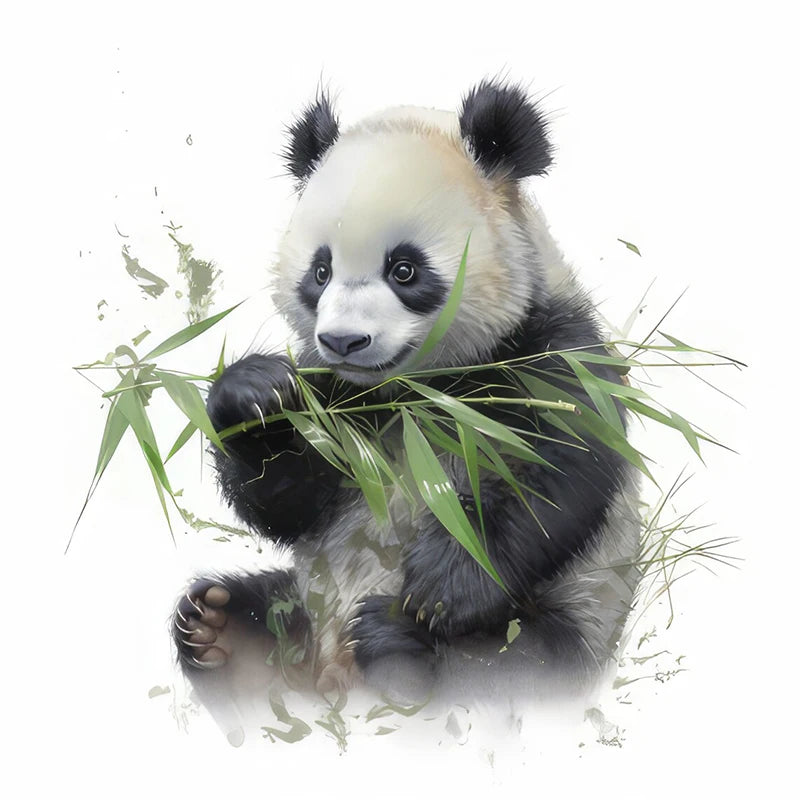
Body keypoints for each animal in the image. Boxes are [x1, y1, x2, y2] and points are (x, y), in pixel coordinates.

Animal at [172, 79, 642, 723]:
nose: (344, 341)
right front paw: (255, 395)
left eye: (404, 269)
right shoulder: (335, 396)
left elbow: (551, 467)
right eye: (320, 272)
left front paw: (442, 586)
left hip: (575, 614)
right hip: (303, 604)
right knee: (264, 612)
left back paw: (402, 646)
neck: (414, 391)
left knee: (510, 668)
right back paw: (219, 636)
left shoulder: (547, 349)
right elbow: (292, 499)